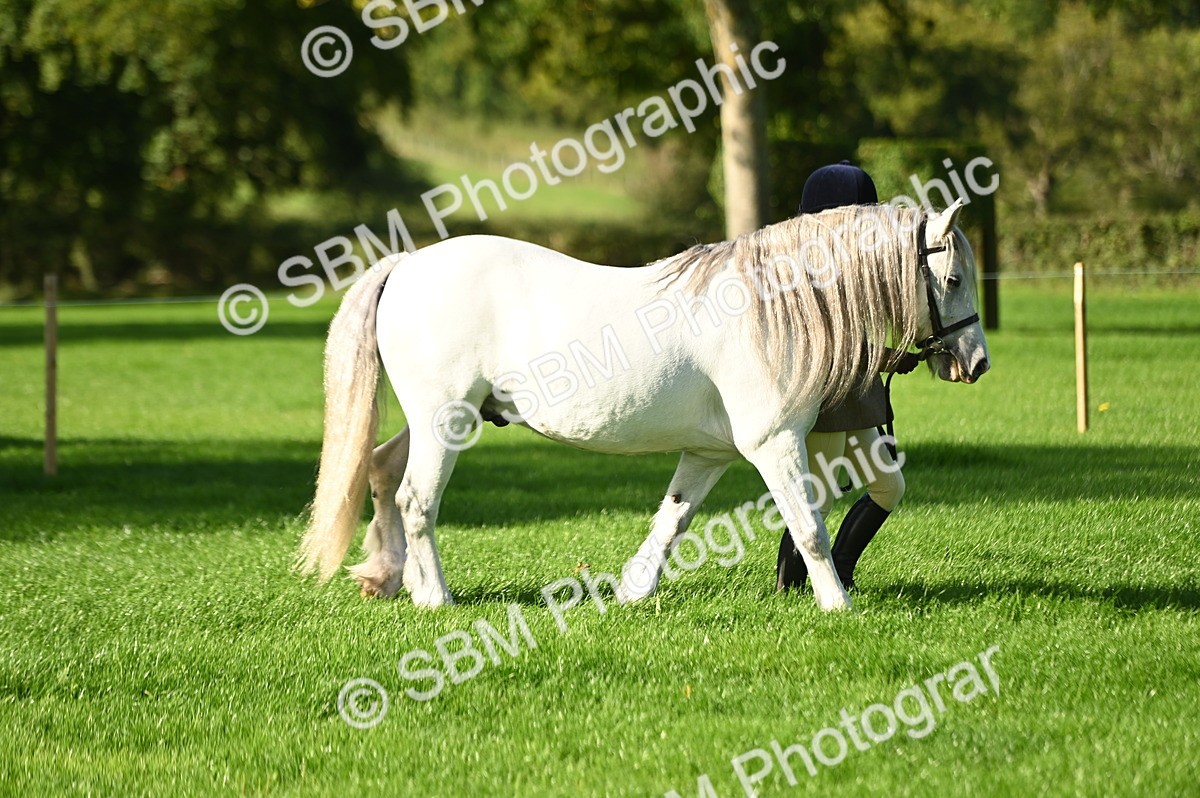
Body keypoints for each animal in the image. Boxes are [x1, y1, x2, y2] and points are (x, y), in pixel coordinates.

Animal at [297, 199, 989, 611]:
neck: (773, 306)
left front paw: (633, 590)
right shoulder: (772, 446)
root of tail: (407, 264)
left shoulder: (709, 454)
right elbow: (811, 528)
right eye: (953, 279)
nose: (976, 362)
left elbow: (672, 520)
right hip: (444, 422)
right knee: (416, 499)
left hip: (441, 422)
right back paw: (435, 597)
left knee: (382, 473)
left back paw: (392, 579)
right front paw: (836, 606)